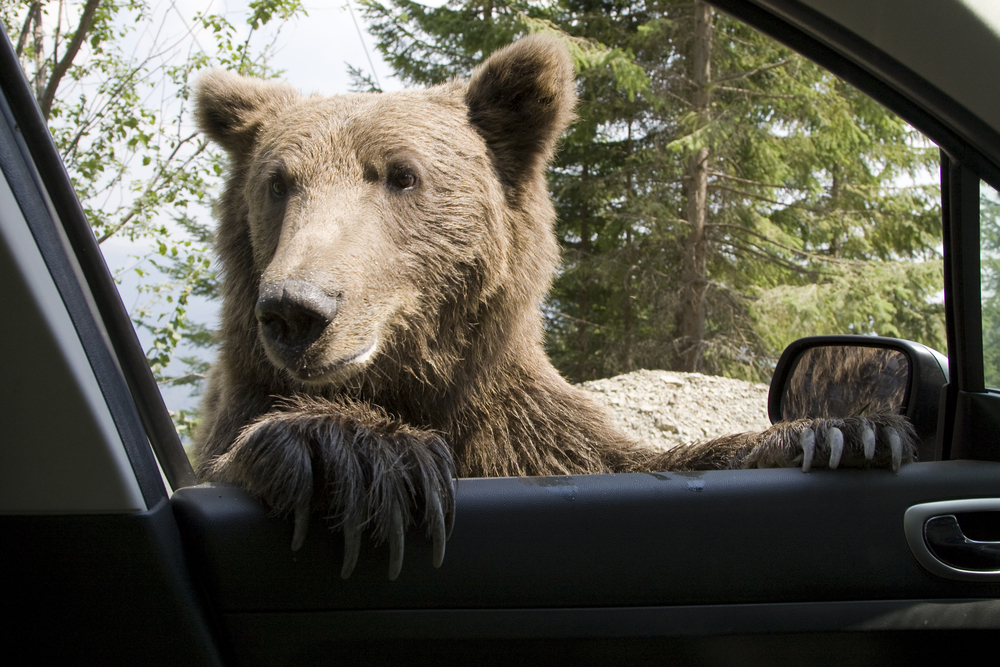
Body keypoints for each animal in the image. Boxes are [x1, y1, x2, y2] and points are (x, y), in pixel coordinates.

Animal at [189, 34, 916, 580]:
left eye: (400, 174)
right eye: (279, 182)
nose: (297, 307)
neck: (411, 381)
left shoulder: (524, 431)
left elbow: (632, 460)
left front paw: (840, 431)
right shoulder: (244, 404)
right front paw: (359, 453)